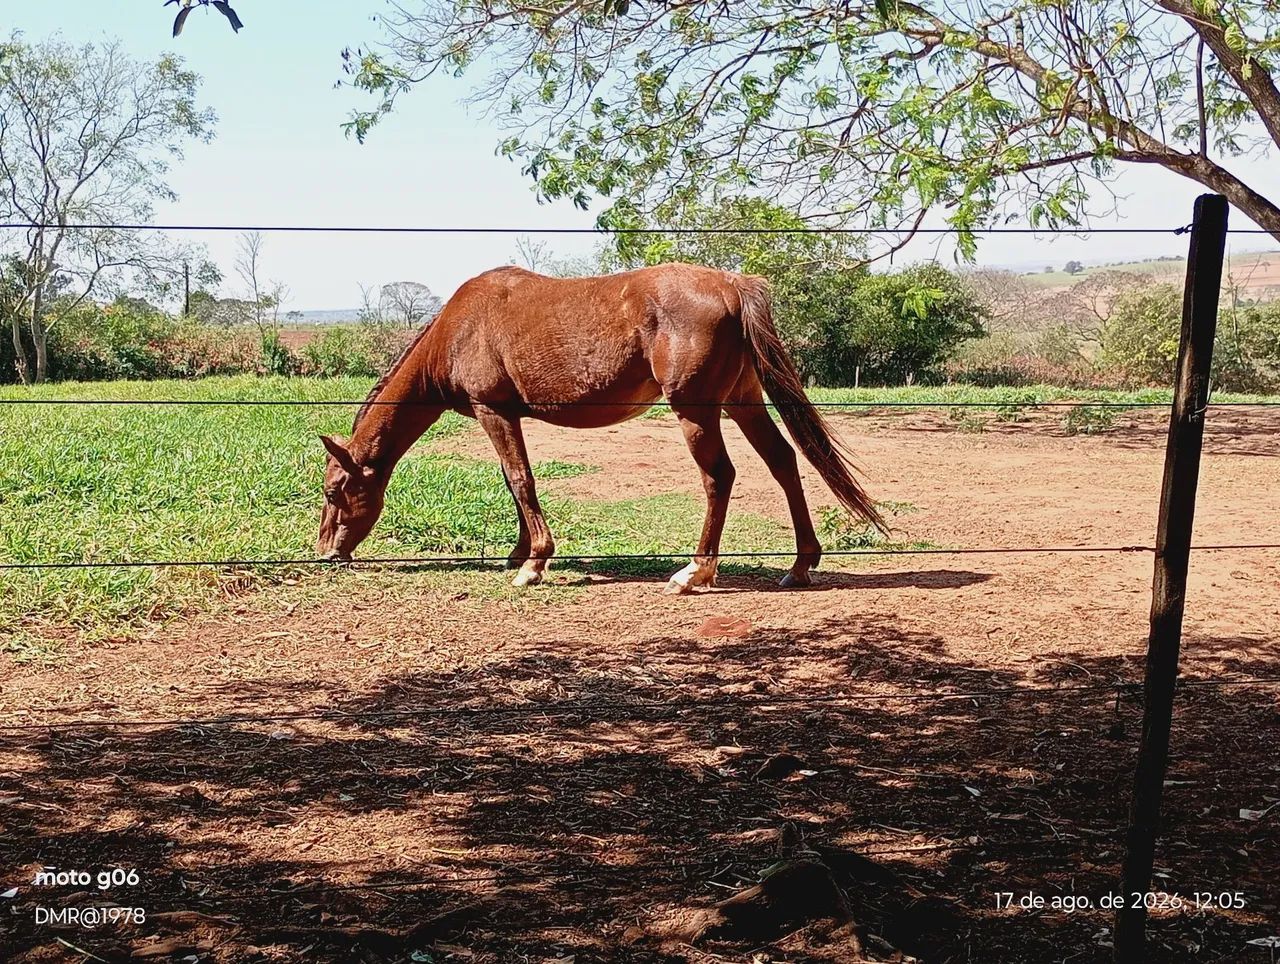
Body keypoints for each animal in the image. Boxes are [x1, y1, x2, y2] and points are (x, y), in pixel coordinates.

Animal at [316, 262, 885, 594]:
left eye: (334, 490)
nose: (326, 554)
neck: (458, 330)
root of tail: (732, 284)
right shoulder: (507, 417)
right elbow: (513, 483)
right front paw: (519, 552)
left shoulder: (493, 412)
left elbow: (521, 481)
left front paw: (533, 563)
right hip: (742, 402)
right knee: (784, 461)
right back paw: (800, 564)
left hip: (696, 412)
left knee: (719, 478)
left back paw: (694, 572)